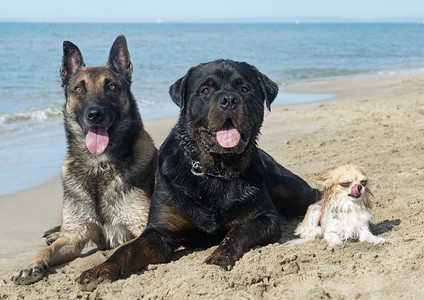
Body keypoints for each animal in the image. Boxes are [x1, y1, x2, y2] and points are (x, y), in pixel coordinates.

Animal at [12, 34, 157, 284]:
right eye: (79, 89)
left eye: (112, 87)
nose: (95, 114)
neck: (99, 166)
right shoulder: (74, 238)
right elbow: (45, 250)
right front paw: (30, 266)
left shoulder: (142, 229)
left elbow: (123, 247)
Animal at [78, 59, 318, 288]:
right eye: (205, 90)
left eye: (245, 89)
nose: (229, 99)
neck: (215, 171)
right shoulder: (160, 231)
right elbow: (127, 250)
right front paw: (100, 270)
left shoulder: (265, 218)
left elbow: (239, 230)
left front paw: (220, 254)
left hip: (292, 190)